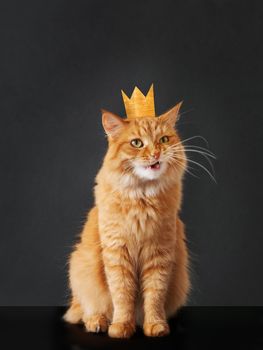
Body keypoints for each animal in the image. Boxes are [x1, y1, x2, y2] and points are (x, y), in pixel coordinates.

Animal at [64, 102, 191, 338]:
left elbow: (154, 296)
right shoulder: (117, 254)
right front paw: (121, 327)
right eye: (137, 143)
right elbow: (122, 296)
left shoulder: (159, 254)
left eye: (164, 140)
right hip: (81, 269)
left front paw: (155, 326)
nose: (156, 153)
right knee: (85, 309)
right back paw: (97, 322)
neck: (143, 197)